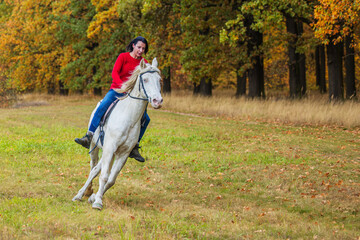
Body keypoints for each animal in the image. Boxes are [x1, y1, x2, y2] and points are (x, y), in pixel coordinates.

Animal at [72, 58, 162, 210]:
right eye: (145, 79)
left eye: (159, 80)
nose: (158, 101)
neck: (129, 118)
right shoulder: (110, 148)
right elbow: (103, 176)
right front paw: (97, 202)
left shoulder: (123, 153)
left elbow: (111, 179)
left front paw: (95, 197)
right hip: (95, 146)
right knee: (93, 168)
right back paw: (81, 193)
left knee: (97, 169)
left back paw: (89, 193)